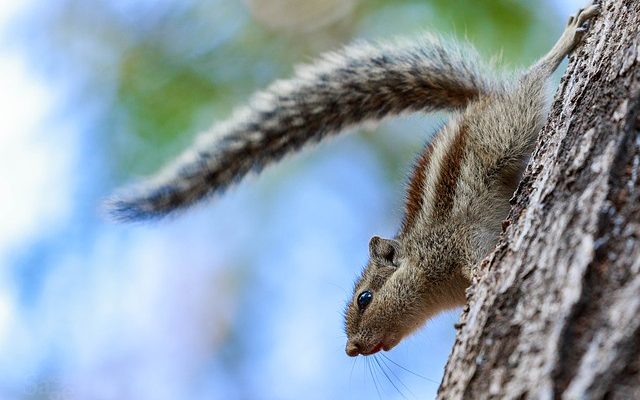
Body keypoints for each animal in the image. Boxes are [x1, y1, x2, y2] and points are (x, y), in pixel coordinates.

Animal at [105, 3, 600, 356]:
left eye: (364, 299)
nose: (350, 349)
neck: (425, 268)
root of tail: (477, 103)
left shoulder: (455, 240)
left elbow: (476, 257)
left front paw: (482, 273)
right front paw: (462, 319)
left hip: (506, 128)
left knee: (531, 79)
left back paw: (570, 35)